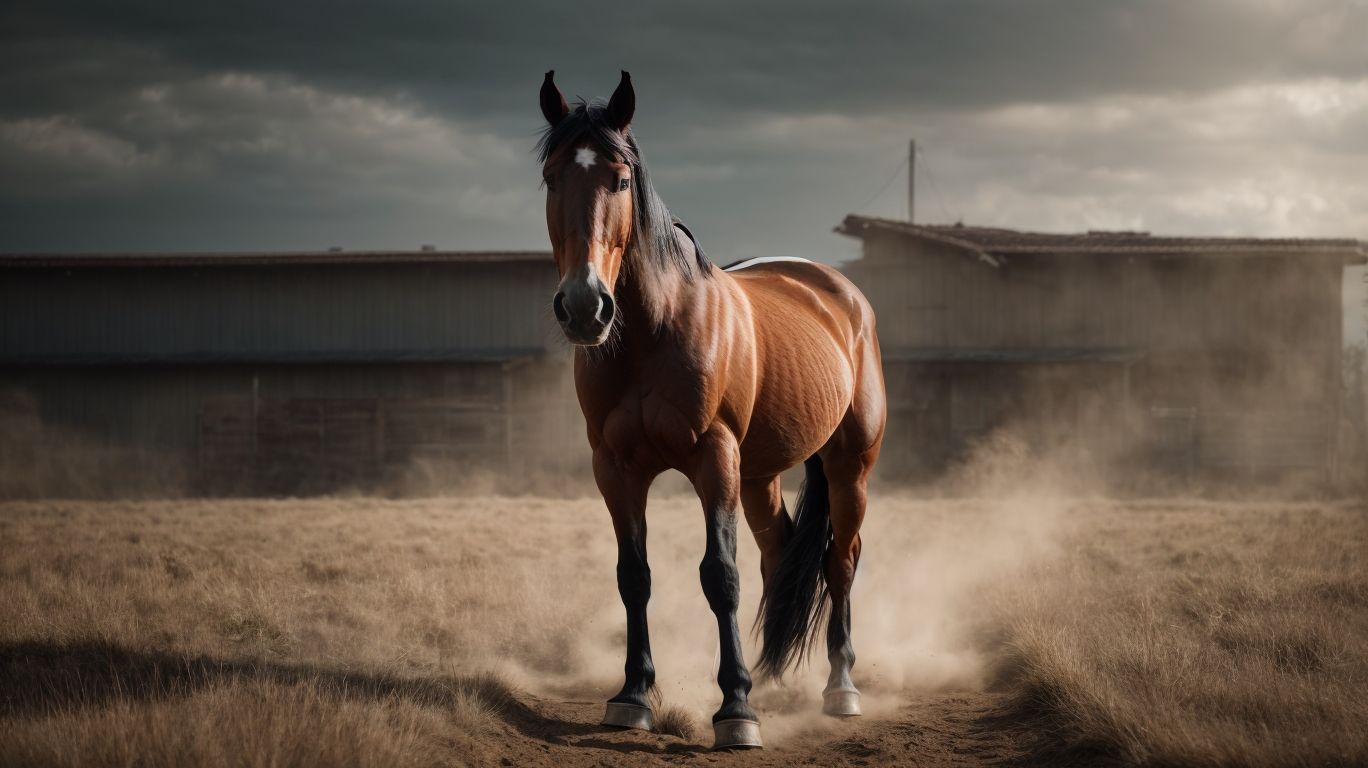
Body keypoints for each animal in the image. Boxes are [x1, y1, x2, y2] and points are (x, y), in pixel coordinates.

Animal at [536, 70, 886, 749]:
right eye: (551, 177)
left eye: (620, 179)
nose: (585, 306)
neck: (652, 332)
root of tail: (838, 291)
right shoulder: (615, 469)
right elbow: (634, 576)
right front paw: (632, 695)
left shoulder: (713, 459)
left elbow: (720, 576)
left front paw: (735, 711)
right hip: (759, 477)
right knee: (780, 554)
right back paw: (775, 679)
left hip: (847, 466)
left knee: (841, 561)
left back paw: (839, 688)